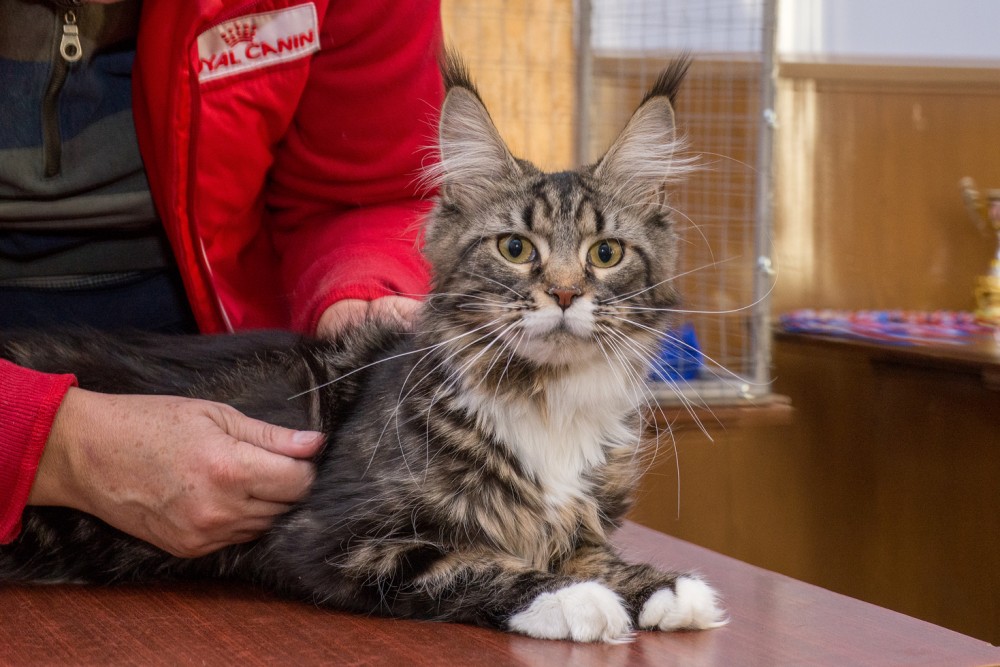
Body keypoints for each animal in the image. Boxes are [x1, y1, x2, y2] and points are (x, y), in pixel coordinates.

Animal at [0, 54, 725, 643]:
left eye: (605, 254)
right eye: (516, 248)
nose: (567, 293)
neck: (547, 401)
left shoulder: (574, 517)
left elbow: (587, 548)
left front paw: (659, 584)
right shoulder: (332, 540)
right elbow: (477, 563)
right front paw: (574, 597)